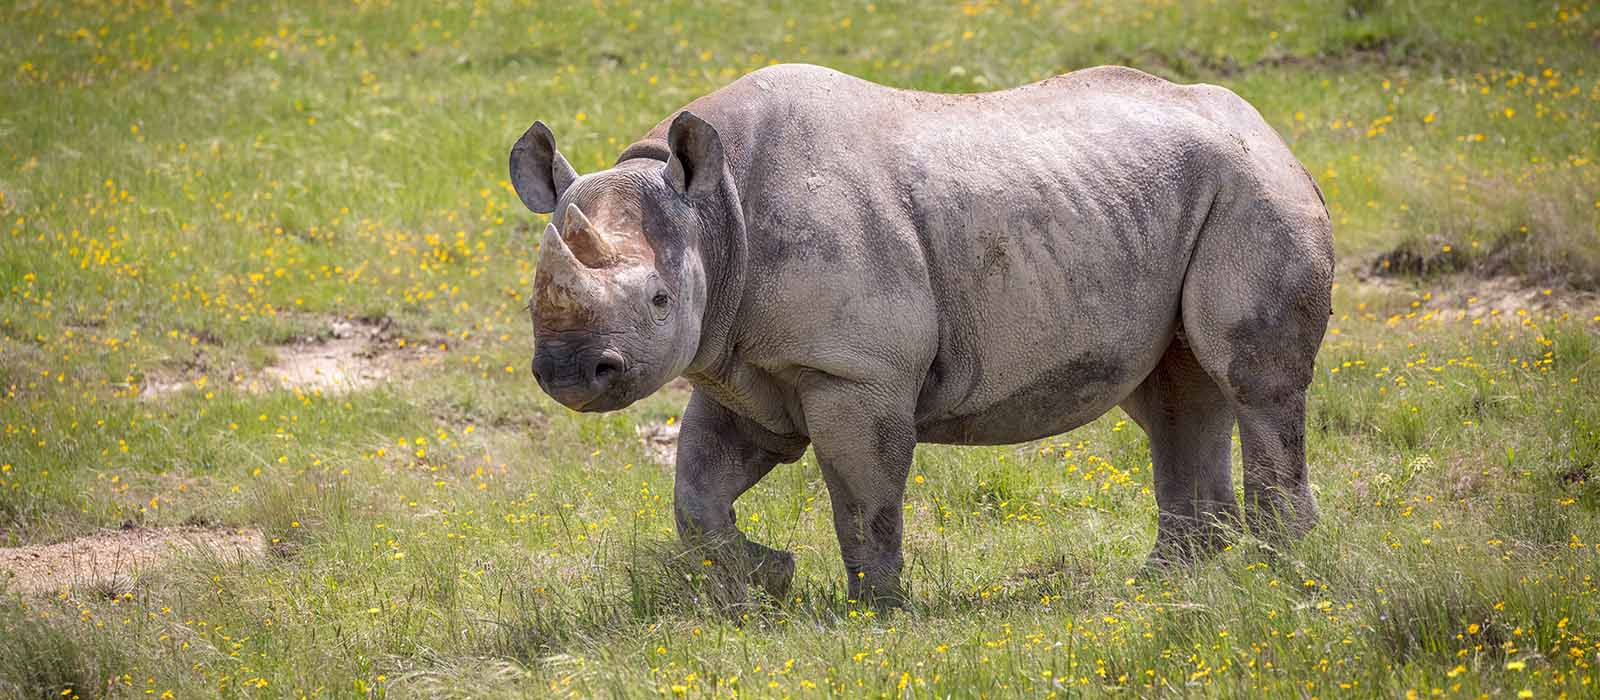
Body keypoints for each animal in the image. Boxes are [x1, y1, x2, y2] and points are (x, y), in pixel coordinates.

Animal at [510, 64, 1332, 606]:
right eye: (530, 301)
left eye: (657, 300)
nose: (569, 375)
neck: (714, 216)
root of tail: (1266, 126)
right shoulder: (740, 362)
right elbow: (696, 493)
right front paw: (769, 580)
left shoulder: (852, 370)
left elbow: (862, 494)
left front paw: (874, 614)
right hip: (1176, 197)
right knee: (1173, 393)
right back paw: (1163, 584)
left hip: (1253, 187)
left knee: (1249, 380)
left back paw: (1280, 576)